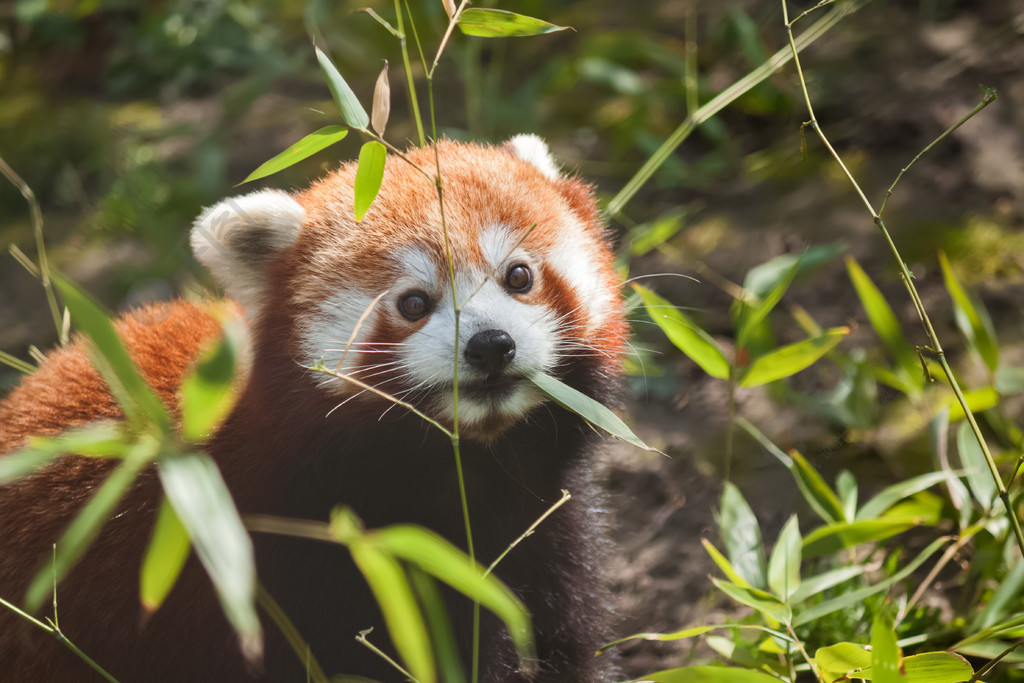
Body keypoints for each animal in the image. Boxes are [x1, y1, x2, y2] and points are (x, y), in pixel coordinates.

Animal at [0, 136, 622, 679]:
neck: (472, 472)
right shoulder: (299, 563)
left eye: (519, 275)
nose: (490, 344)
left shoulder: (550, 529)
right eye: (413, 303)